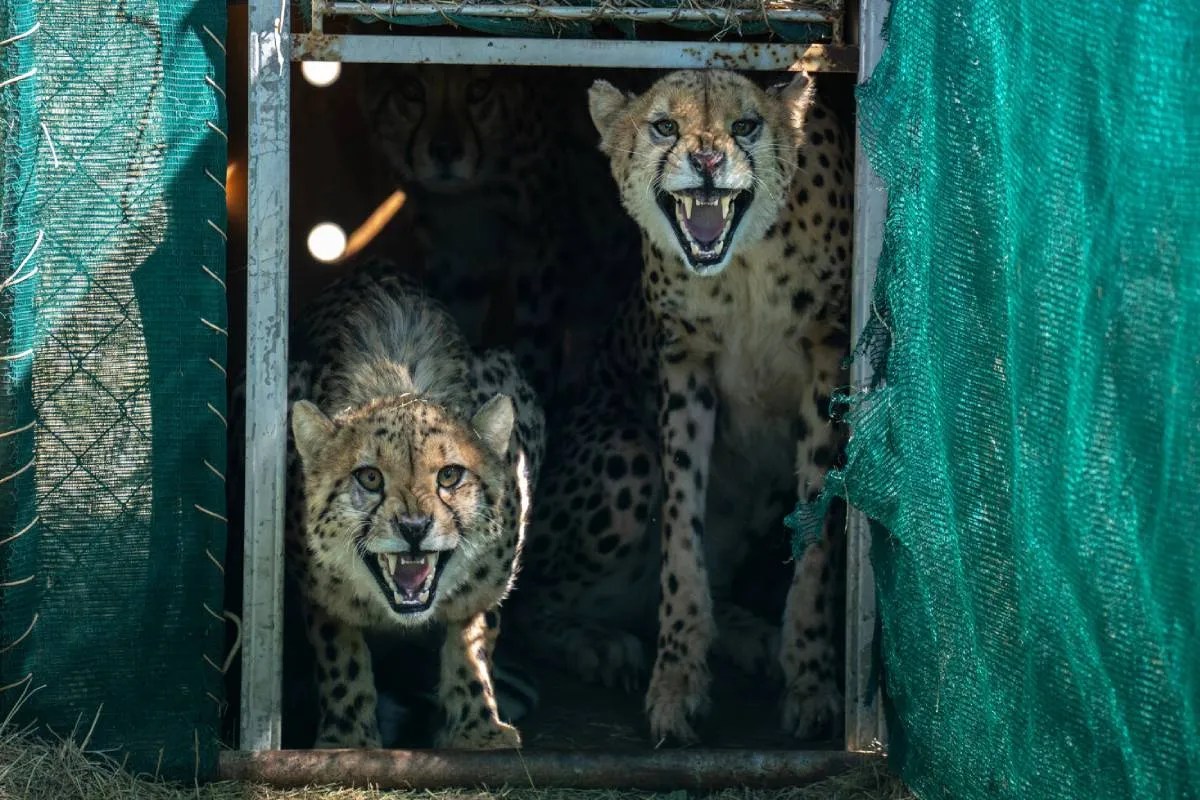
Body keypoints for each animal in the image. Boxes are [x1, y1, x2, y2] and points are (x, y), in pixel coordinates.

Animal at [284, 259, 545, 749]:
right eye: (369, 478)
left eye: (449, 475)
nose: (414, 527)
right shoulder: (318, 589)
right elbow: (340, 650)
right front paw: (349, 736)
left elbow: (473, 634)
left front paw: (478, 729)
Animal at [358, 64, 641, 404]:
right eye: (411, 89)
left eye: (479, 89)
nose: (445, 151)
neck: (471, 192)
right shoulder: (456, 260)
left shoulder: (540, 253)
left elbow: (537, 338)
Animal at [509, 69, 853, 745]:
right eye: (664, 125)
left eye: (745, 125)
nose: (709, 162)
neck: (744, 261)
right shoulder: (685, 363)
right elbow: (680, 535)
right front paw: (675, 683)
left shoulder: (827, 363)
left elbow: (815, 538)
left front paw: (811, 681)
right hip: (626, 455)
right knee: (533, 598)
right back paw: (598, 644)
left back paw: (750, 636)